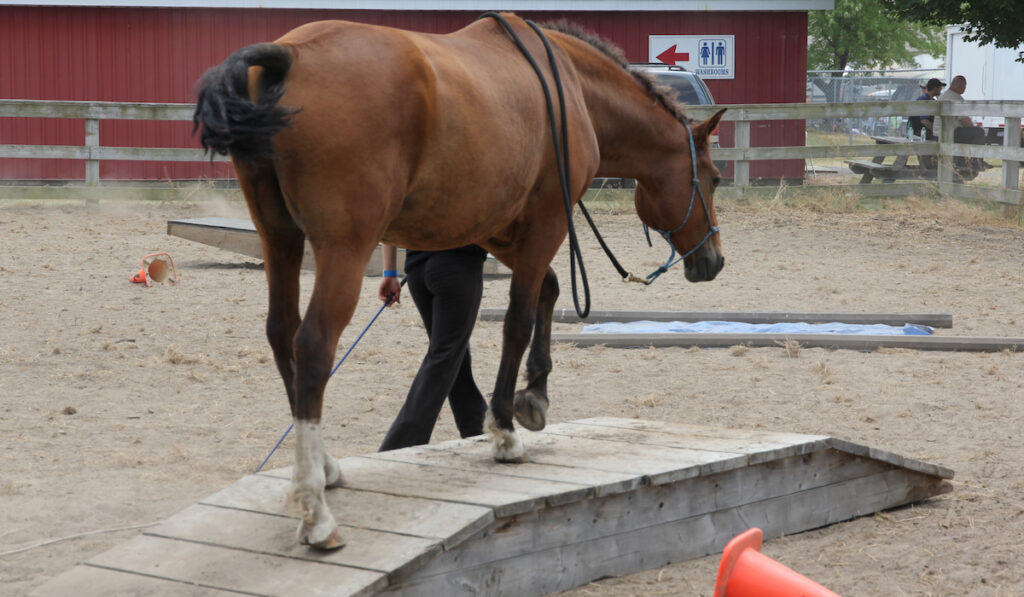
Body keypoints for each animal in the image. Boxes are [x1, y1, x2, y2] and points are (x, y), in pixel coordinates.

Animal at [193, 12, 729, 552]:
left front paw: (534, 395)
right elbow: (517, 320)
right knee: (313, 344)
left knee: (281, 333)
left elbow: (550, 289)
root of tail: (292, 55)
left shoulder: (493, 227)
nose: (715, 259)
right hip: (342, 247)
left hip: (279, 237)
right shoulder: (546, 221)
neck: (572, 87)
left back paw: (324, 468)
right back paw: (316, 511)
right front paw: (505, 430)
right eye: (714, 177)